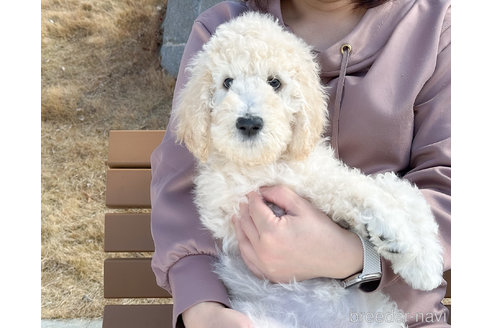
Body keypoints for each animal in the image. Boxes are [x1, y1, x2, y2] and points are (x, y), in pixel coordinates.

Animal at [175, 11, 444, 326]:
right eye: (227, 82)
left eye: (275, 82)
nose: (249, 123)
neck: (269, 159)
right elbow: (354, 190)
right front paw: (397, 238)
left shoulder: (315, 169)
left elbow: (396, 188)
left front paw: (426, 261)